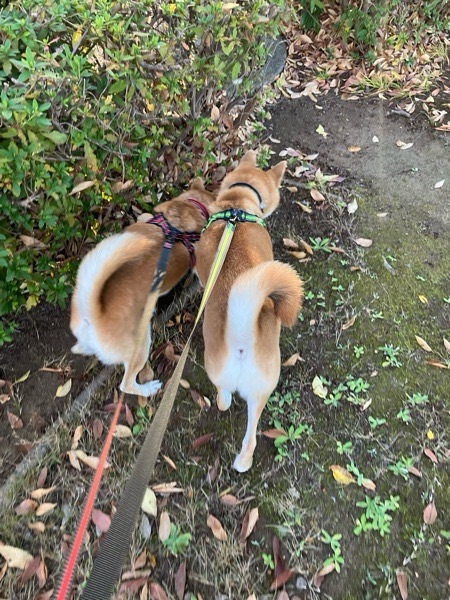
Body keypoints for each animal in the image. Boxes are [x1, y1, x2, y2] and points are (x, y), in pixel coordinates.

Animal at [195, 151, 303, 472]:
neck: (237, 208)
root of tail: (242, 338)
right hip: (262, 387)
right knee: (251, 434)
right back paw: (243, 461)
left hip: (224, 374)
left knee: (224, 398)